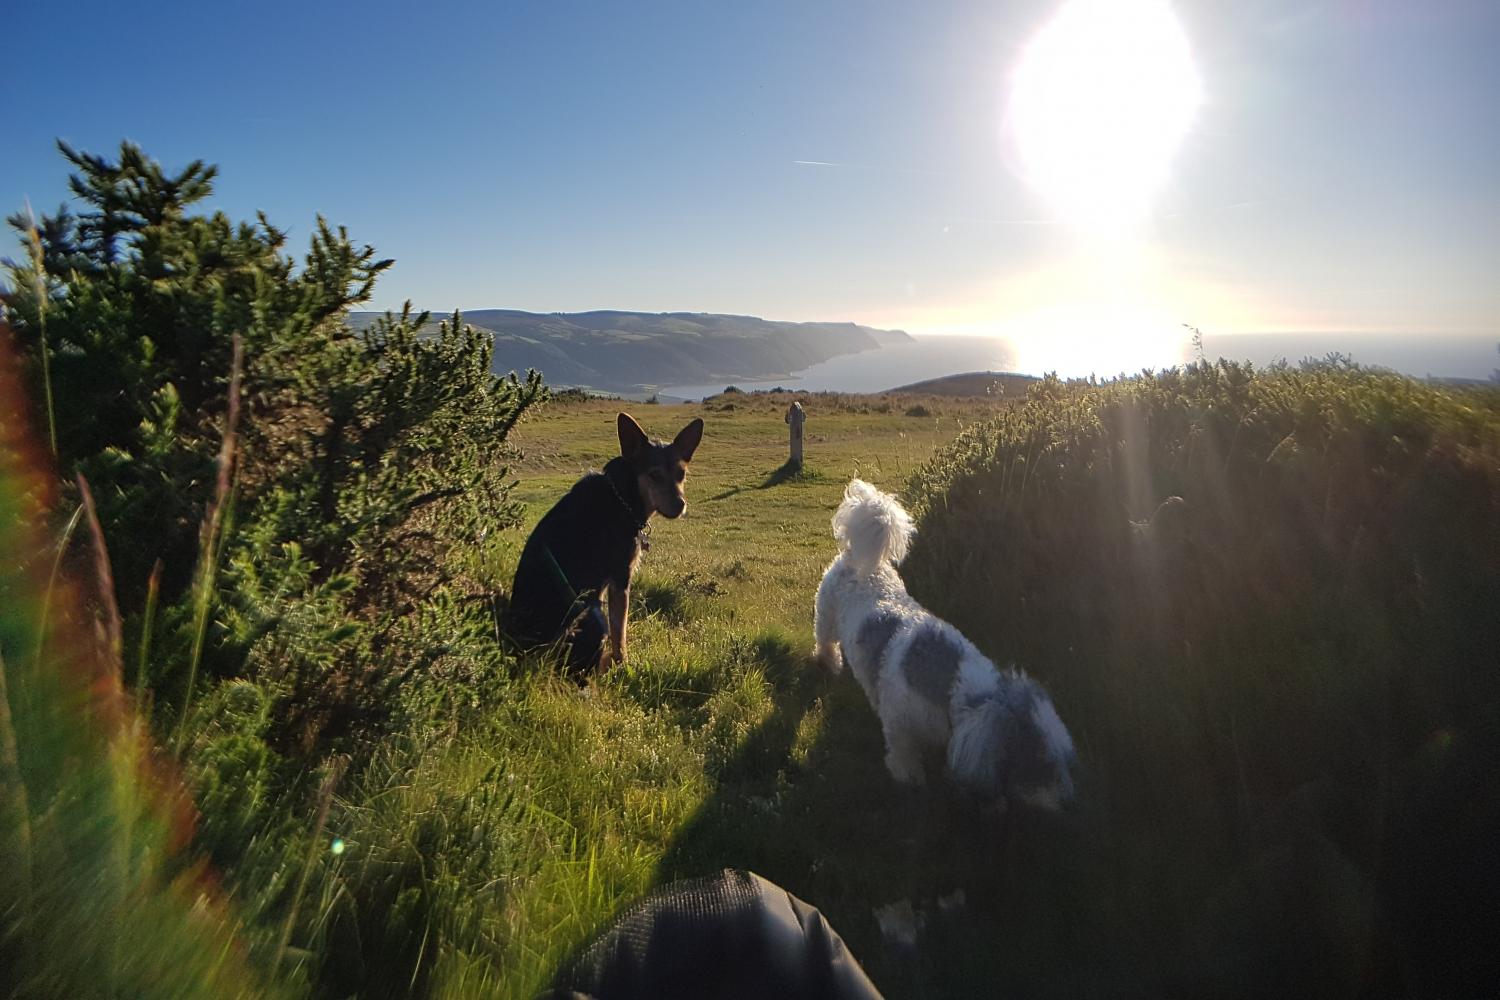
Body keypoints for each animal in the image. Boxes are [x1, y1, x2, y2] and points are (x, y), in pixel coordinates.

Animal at [510, 410, 702, 677]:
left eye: (681, 474)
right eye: (654, 475)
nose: (680, 505)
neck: (622, 496)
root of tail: (522, 653)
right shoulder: (621, 579)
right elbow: (620, 633)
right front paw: (625, 666)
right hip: (590, 615)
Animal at [816, 479, 1074, 809]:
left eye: (1065, 760)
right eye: (1039, 765)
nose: (1070, 801)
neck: (956, 688)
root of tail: (857, 558)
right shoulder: (900, 725)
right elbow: (904, 757)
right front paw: (910, 780)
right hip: (826, 616)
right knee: (825, 640)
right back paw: (828, 662)